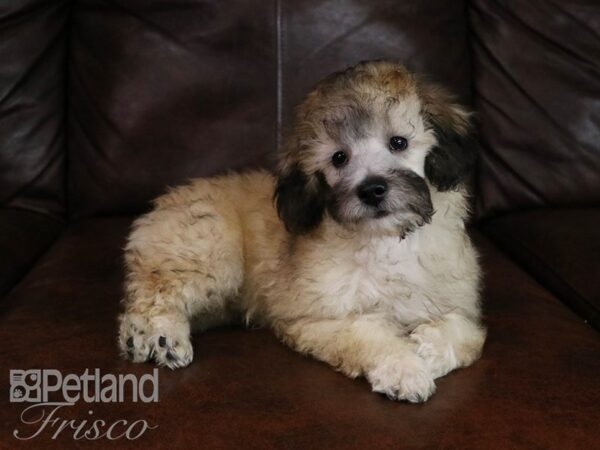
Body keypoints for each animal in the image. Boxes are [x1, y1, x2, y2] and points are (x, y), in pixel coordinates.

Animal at [118, 60, 488, 404]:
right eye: (339, 158)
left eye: (399, 142)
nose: (371, 190)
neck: (385, 239)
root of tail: (164, 202)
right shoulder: (318, 320)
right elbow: (370, 335)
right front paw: (405, 368)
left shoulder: (457, 301)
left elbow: (464, 331)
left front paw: (428, 349)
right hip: (205, 250)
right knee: (153, 294)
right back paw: (156, 336)